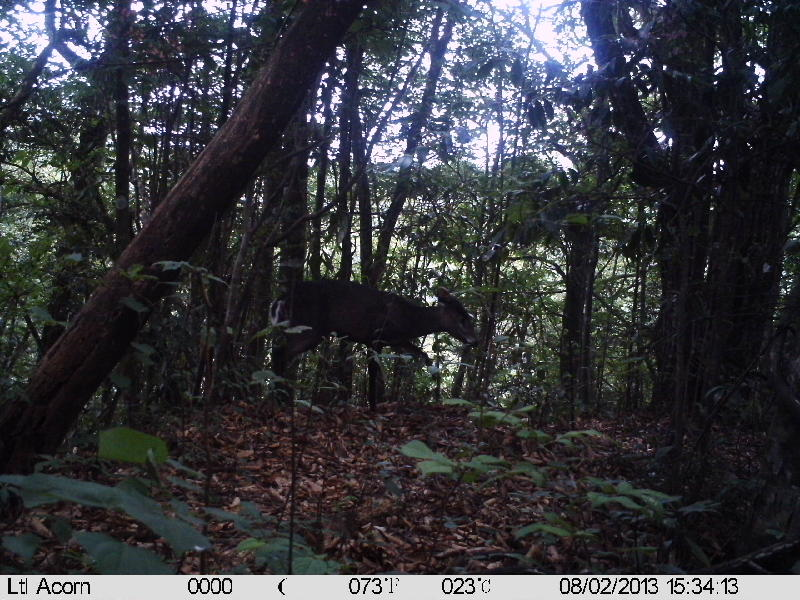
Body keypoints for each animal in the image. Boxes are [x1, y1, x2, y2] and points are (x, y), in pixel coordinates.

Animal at [269, 279, 477, 407]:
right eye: (462, 319)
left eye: (469, 316)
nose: (475, 341)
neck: (410, 320)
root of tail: (280, 299)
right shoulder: (376, 336)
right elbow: (373, 372)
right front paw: (373, 406)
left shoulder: (395, 340)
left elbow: (424, 355)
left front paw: (434, 386)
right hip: (310, 327)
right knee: (279, 352)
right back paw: (278, 397)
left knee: (279, 352)